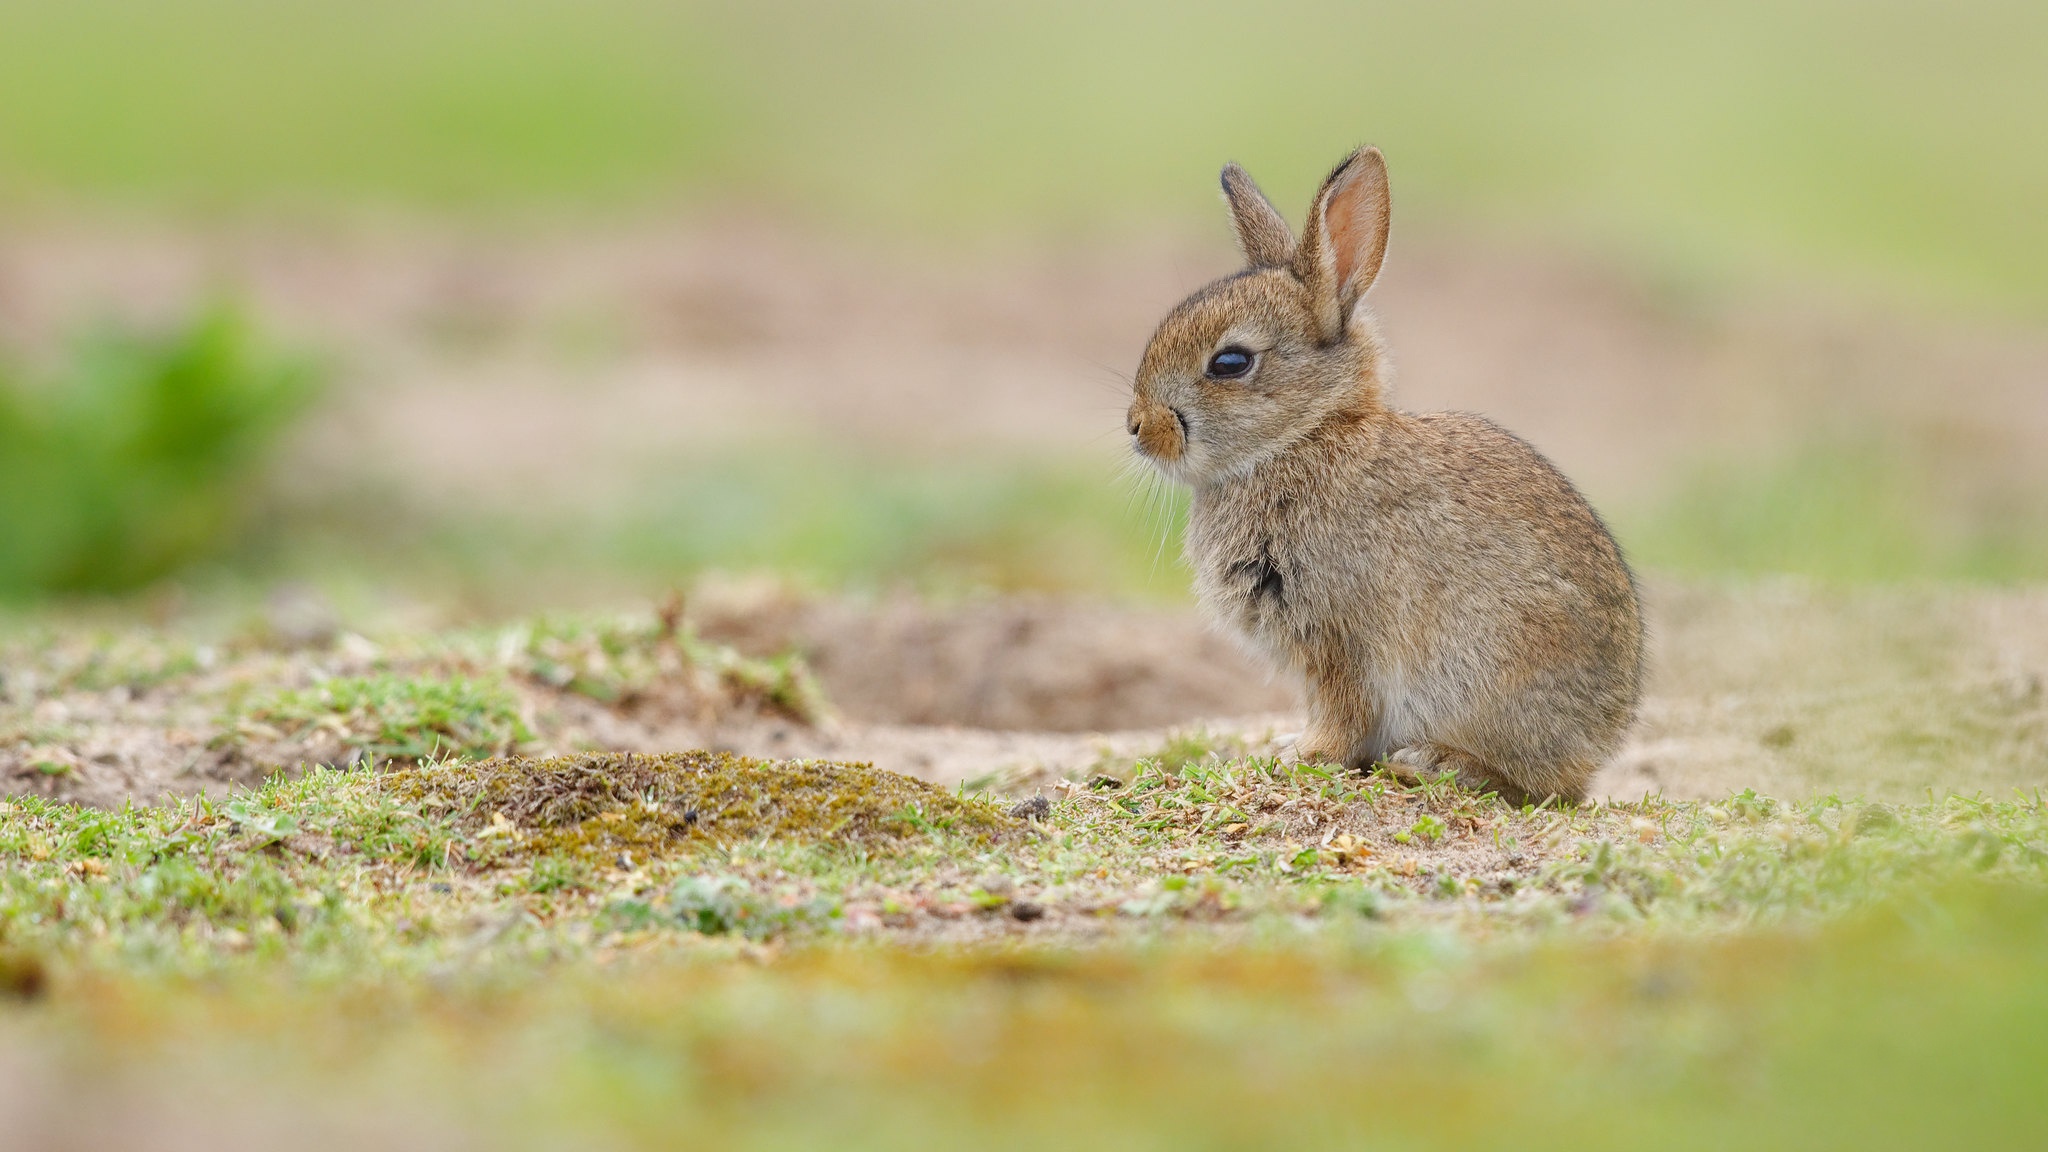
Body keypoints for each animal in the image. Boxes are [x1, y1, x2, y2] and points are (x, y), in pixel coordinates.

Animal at [1130, 147, 1638, 803]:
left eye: (1231, 362)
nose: (1137, 427)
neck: (1302, 438)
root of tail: (1598, 744)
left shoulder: (1337, 637)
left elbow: (1343, 710)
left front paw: (1304, 755)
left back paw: (1429, 761)